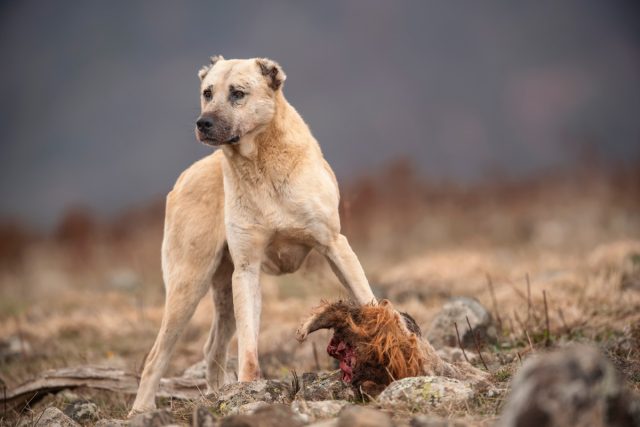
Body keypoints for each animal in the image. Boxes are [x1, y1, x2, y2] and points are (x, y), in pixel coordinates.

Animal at [131, 56, 380, 414]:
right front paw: (248, 391)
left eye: (238, 93)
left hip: (221, 290)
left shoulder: (335, 246)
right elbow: (248, 346)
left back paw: (213, 395)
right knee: (156, 357)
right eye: (207, 93)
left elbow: (367, 299)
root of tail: (185, 177)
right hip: (189, 285)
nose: (203, 123)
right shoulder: (247, 270)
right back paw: (141, 410)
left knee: (212, 349)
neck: (261, 165)